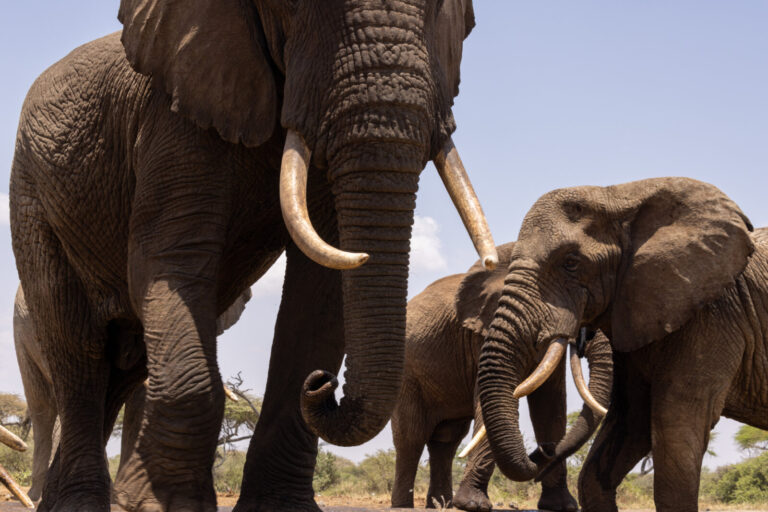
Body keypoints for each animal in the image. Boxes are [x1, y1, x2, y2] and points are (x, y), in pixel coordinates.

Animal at [391, 243, 612, 511]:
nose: (544, 451)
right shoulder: (485, 331)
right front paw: (472, 505)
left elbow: (550, 404)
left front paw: (563, 506)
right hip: (407, 374)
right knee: (411, 437)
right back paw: (404, 506)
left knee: (446, 441)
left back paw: (440, 505)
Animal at [475, 177, 768, 512]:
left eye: (571, 263)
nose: (543, 450)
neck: (619, 195)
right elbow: (628, 426)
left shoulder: (713, 314)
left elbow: (675, 426)